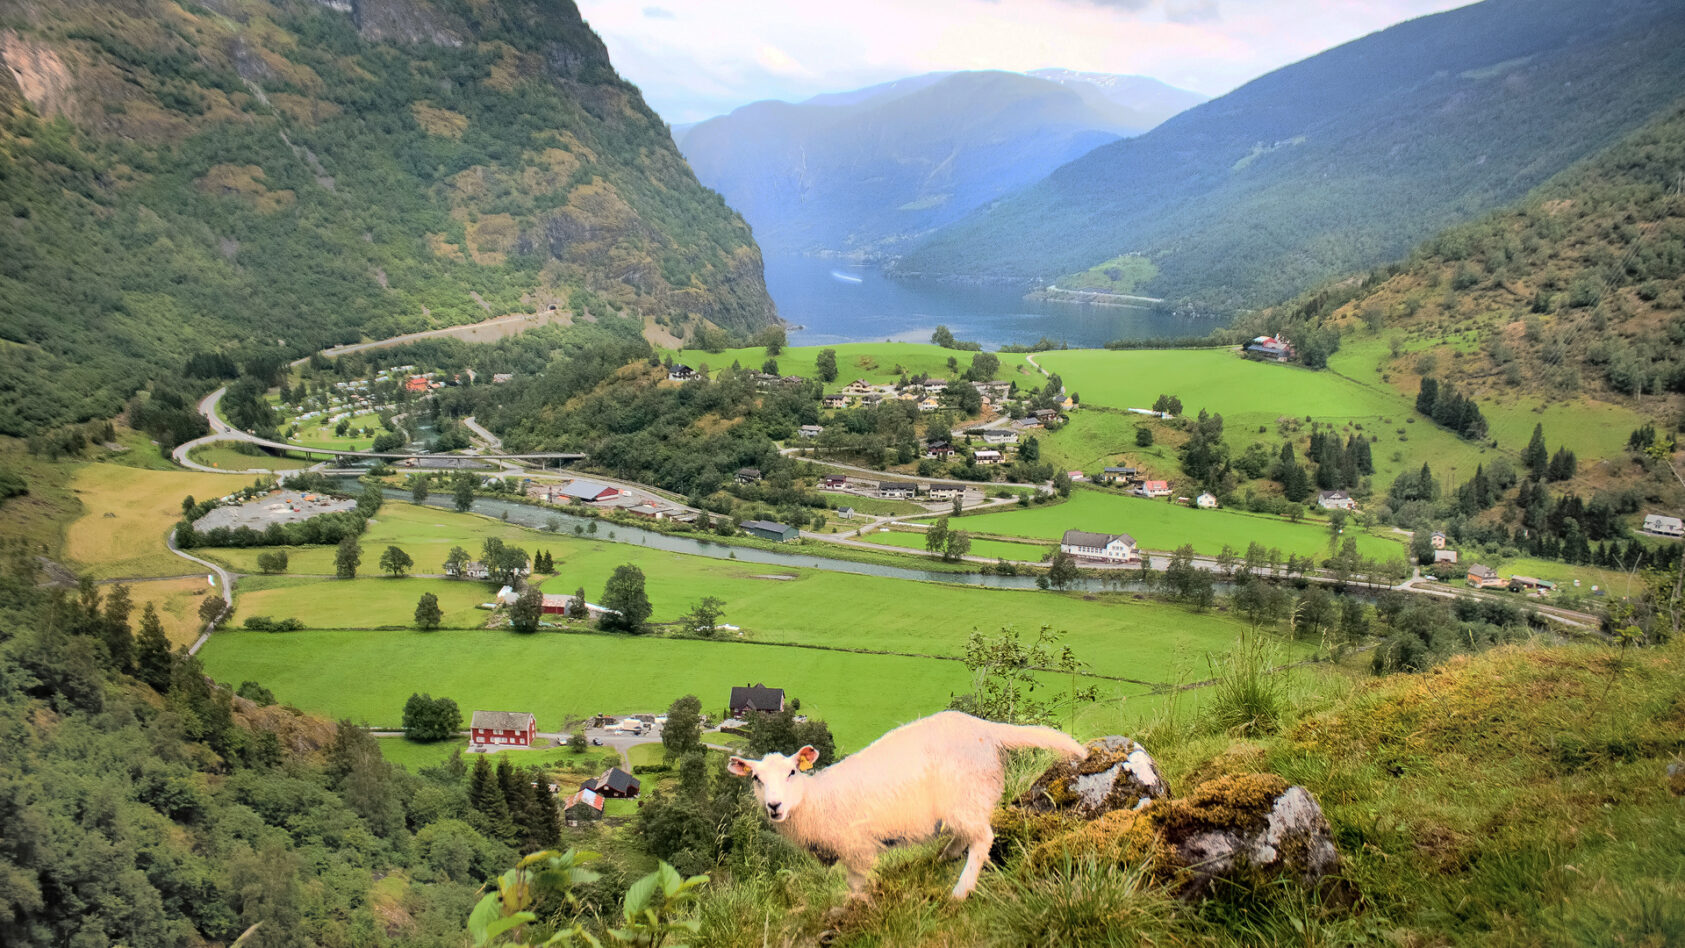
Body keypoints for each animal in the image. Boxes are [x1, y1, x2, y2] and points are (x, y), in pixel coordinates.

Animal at [731, 707, 1085, 902]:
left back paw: (961, 892)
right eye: (756, 779)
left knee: (982, 838)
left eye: (792, 772)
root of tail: (983, 727)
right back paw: (946, 855)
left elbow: (858, 887)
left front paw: (855, 910)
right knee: (968, 833)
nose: (774, 806)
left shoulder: (859, 849)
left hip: (963, 793)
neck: (816, 801)